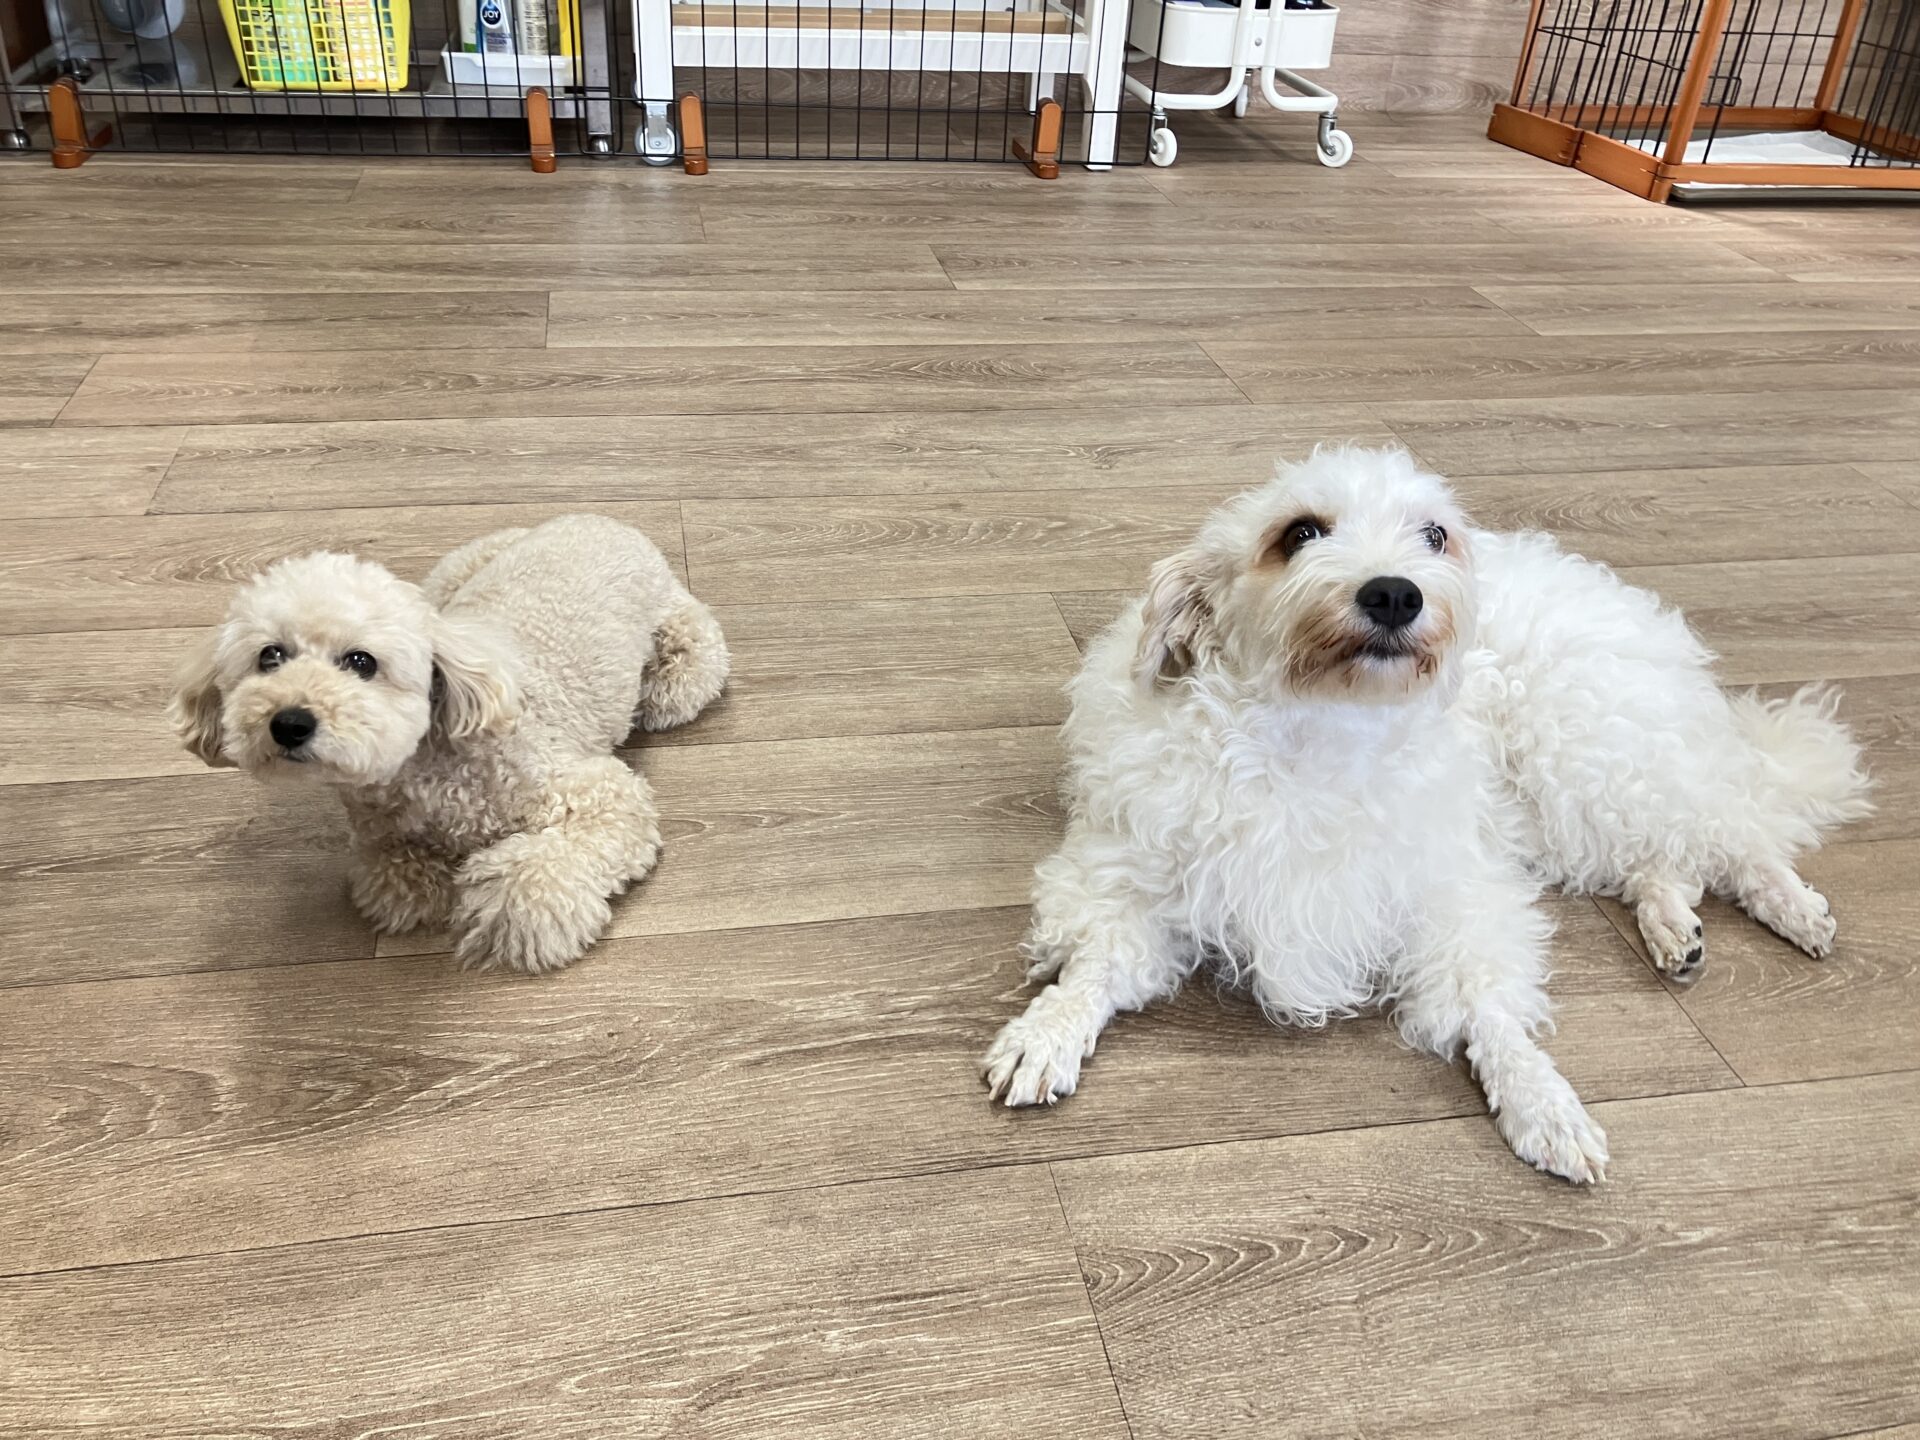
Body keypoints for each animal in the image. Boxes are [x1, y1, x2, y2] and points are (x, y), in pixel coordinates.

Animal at [168, 514, 729, 974]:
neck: (430, 766)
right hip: (454, 570)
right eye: (270, 656)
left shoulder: (600, 793)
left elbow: (543, 867)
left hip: (685, 659)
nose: (288, 723)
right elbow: (395, 873)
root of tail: (605, 520)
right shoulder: (384, 832)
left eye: (361, 662)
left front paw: (515, 912)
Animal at [982, 448, 1870, 1182]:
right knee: (1667, 855)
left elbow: (1489, 1007)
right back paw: (1674, 926)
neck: (1319, 735)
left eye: (1435, 534)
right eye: (1298, 533)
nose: (1393, 593)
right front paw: (1045, 1035)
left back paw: (1787, 906)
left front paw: (1541, 1102)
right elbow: (1096, 965)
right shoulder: (1136, 873)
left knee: (1728, 826)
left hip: (1588, 753)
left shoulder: (1454, 891)